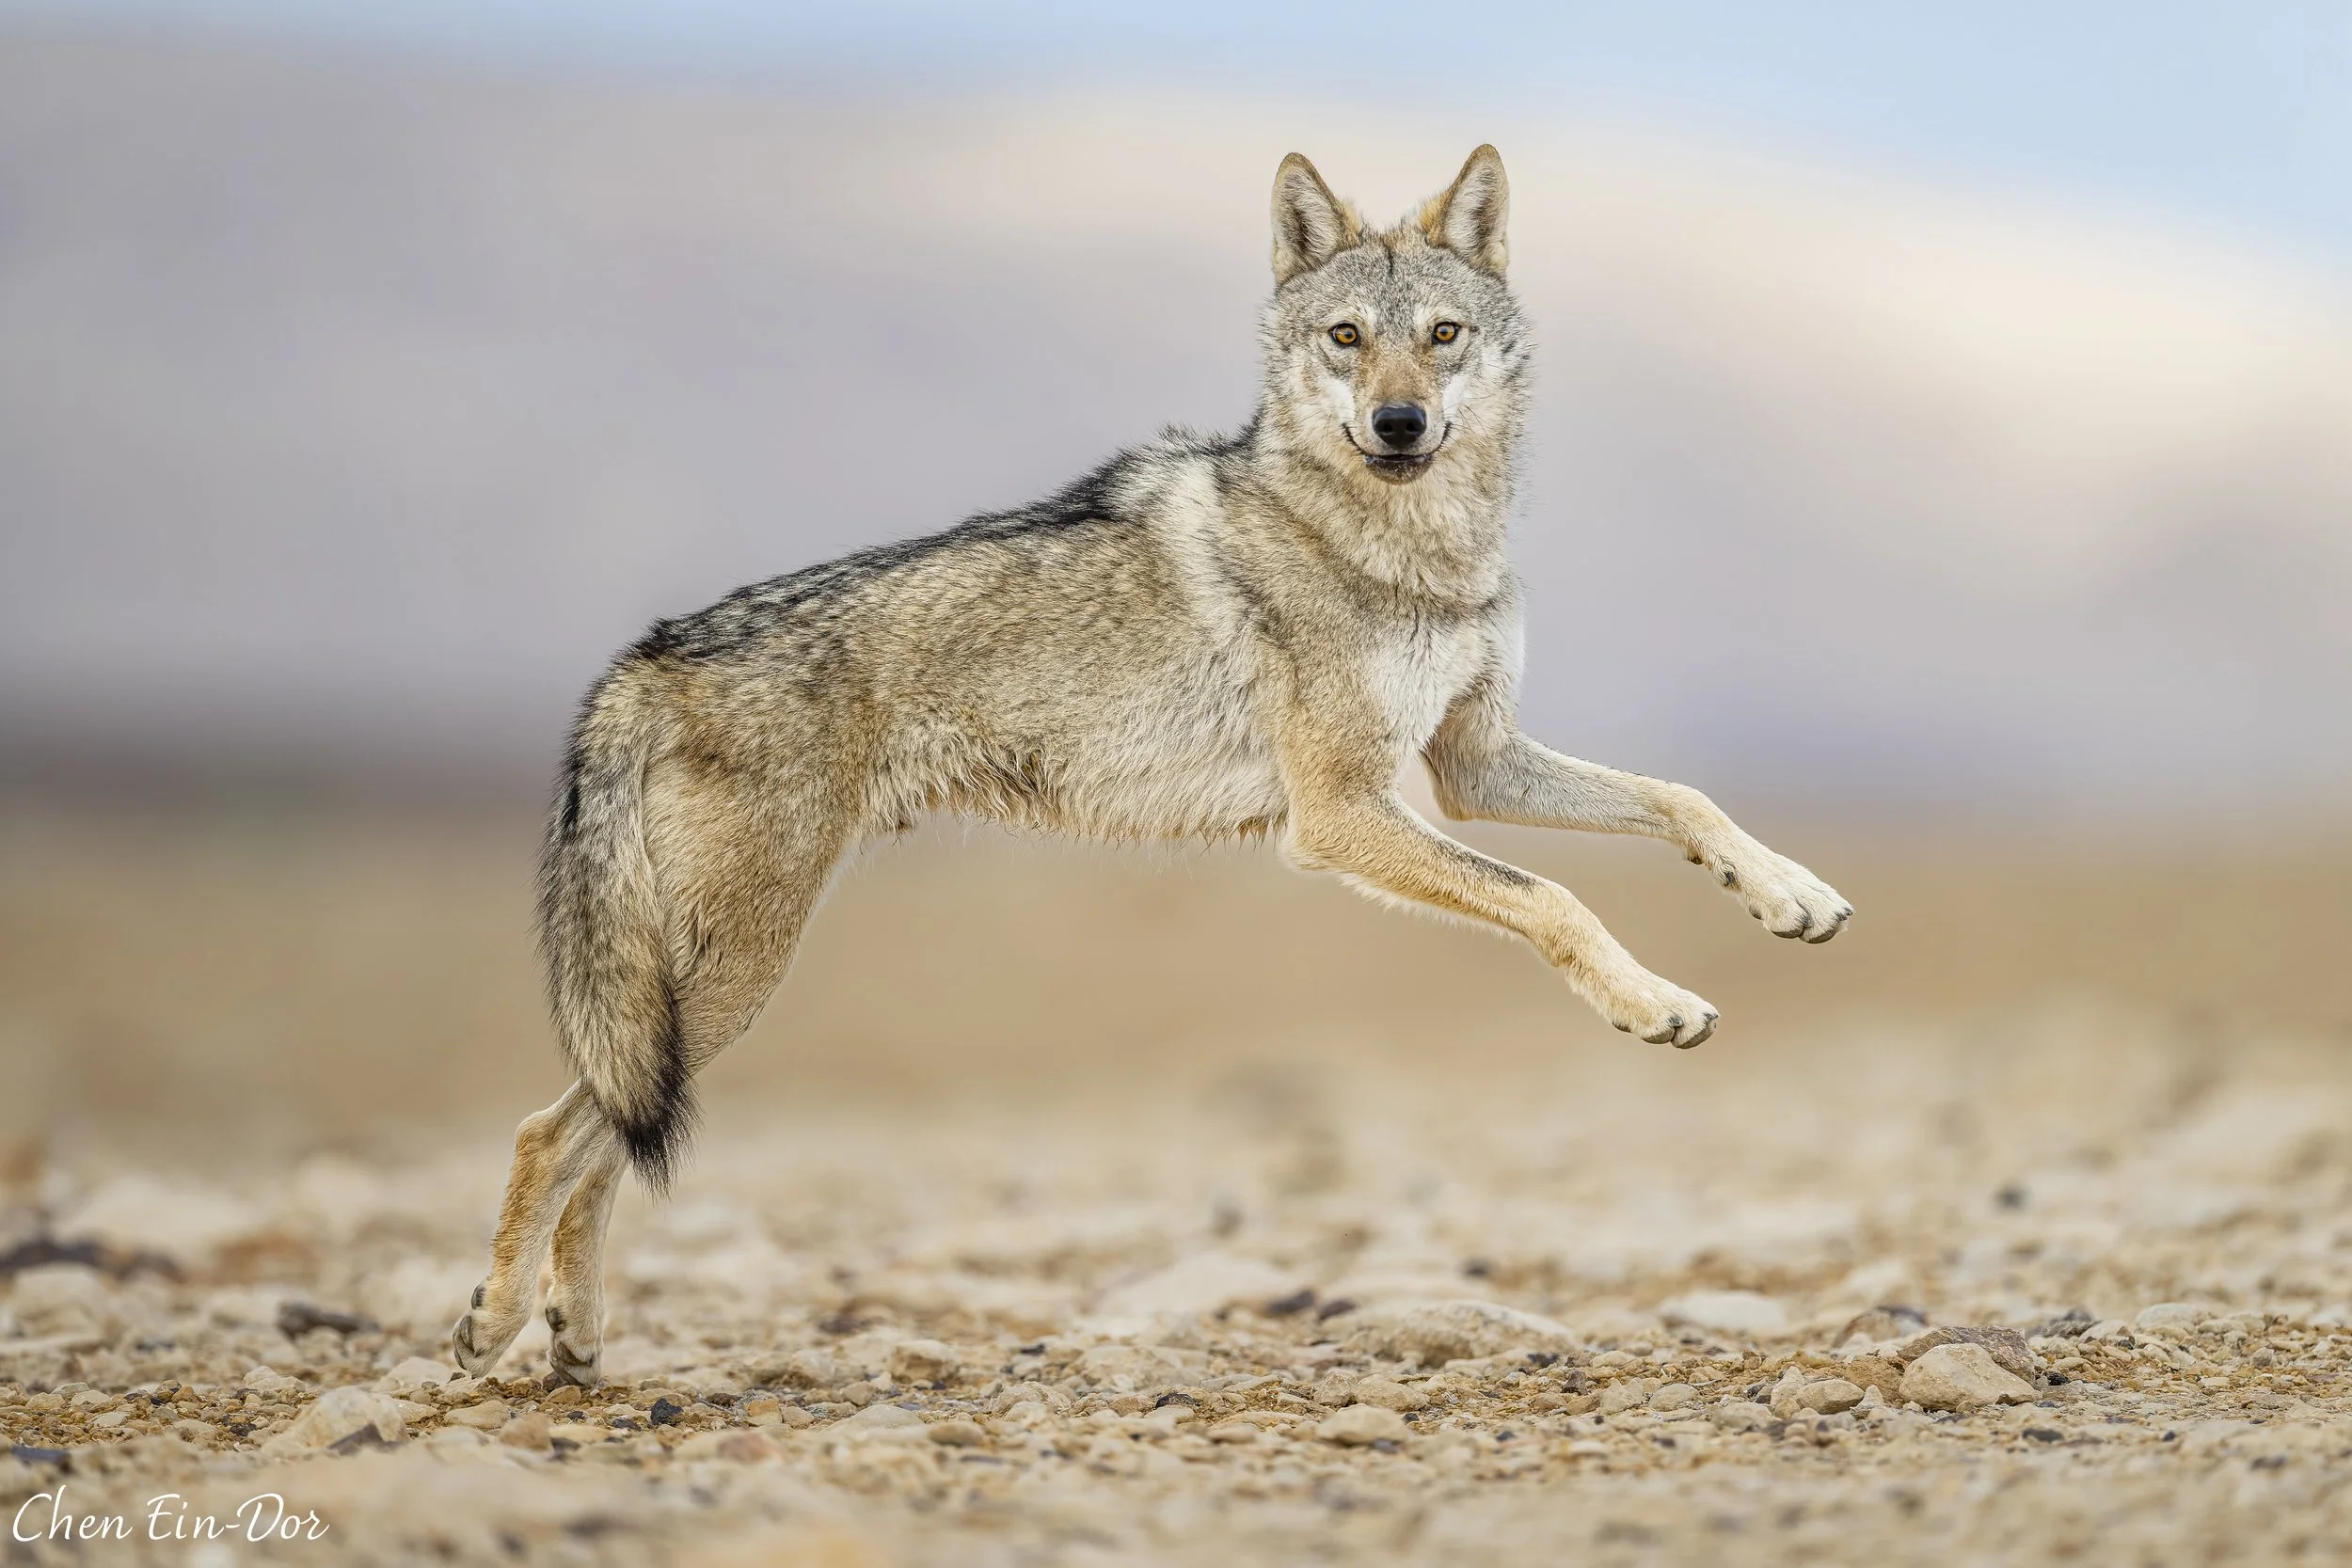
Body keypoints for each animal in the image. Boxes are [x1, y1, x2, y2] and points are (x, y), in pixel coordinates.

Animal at [451, 145, 1851, 1384]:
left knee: (598, 1140)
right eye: (1347, 338)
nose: (1399, 423)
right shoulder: (1341, 813)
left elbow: (1679, 796)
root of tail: (638, 658)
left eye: (1443, 334)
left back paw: (576, 1339)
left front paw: (1789, 895)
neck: (1410, 547)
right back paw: (496, 1320)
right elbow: (1554, 898)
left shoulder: (1472, 763)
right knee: (547, 1130)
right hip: (725, 975)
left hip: (694, 996)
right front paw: (1650, 1001)